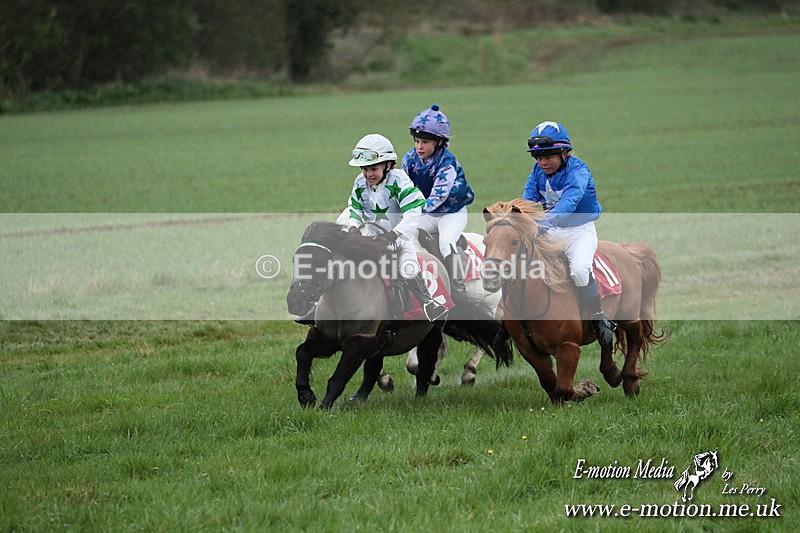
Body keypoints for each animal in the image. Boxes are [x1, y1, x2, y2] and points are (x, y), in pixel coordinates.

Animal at [286, 221, 513, 410]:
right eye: (295, 261)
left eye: (320, 262)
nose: (294, 301)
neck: (344, 297)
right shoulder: (327, 337)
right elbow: (302, 353)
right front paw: (306, 396)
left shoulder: (359, 341)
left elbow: (338, 377)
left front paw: (324, 408)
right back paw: (360, 397)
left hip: (449, 321)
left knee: (435, 355)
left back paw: (458, 377)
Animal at [481, 199, 668, 403]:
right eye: (485, 242)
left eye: (514, 242)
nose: (490, 275)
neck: (532, 300)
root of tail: (623, 249)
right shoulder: (529, 350)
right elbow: (551, 385)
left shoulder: (568, 347)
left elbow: (564, 388)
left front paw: (587, 388)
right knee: (607, 336)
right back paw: (611, 372)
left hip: (628, 314)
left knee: (636, 336)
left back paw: (630, 381)